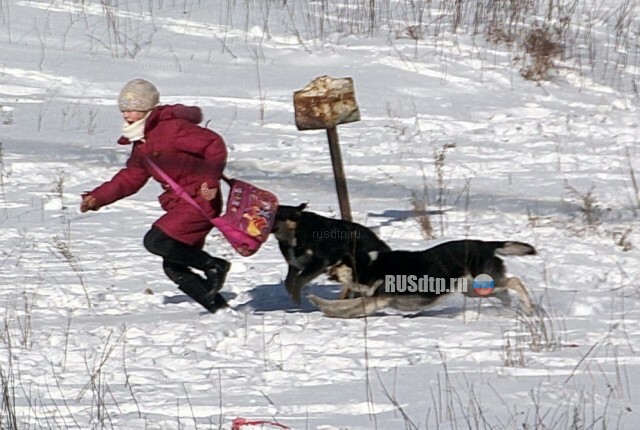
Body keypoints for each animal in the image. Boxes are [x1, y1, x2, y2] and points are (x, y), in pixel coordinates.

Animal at [308, 240, 536, 318]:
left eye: (339, 263)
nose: (326, 268)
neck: (371, 265)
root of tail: (487, 244)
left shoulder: (378, 299)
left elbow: (350, 308)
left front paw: (333, 313)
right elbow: (343, 303)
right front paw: (320, 303)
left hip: (482, 284)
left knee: (515, 281)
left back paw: (528, 307)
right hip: (473, 289)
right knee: (505, 292)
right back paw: (510, 309)